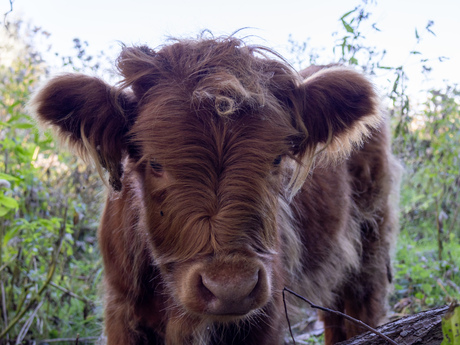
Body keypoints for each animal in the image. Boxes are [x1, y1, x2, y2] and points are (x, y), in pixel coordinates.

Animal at [31, 36, 398, 342]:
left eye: (277, 159)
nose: (230, 287)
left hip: (371, 241)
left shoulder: (264, 317)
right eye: (155, 163)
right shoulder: (121, 310)